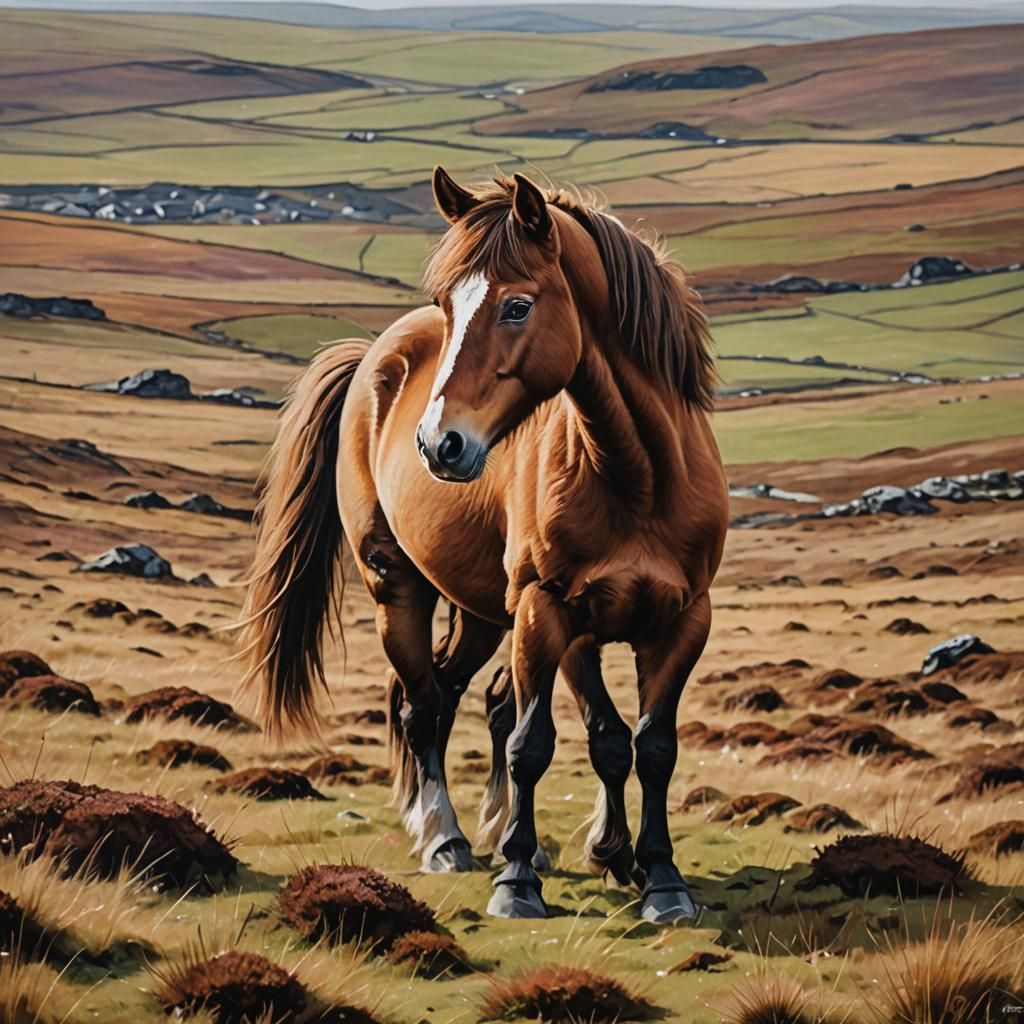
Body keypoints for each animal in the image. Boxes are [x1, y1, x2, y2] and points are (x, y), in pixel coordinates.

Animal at [240, 168, 728, 922]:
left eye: (518, 307)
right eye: (448, 305)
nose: (438, 442)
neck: (638, 475)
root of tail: (372, 357)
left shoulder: (681, 619)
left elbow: (646, 746)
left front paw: (657, 878)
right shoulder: (549, 610)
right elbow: (544, 742)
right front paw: (520, 882)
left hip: (480, 613)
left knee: (454, 690)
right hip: (400, 588)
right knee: (422, 704)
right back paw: (444, 837)